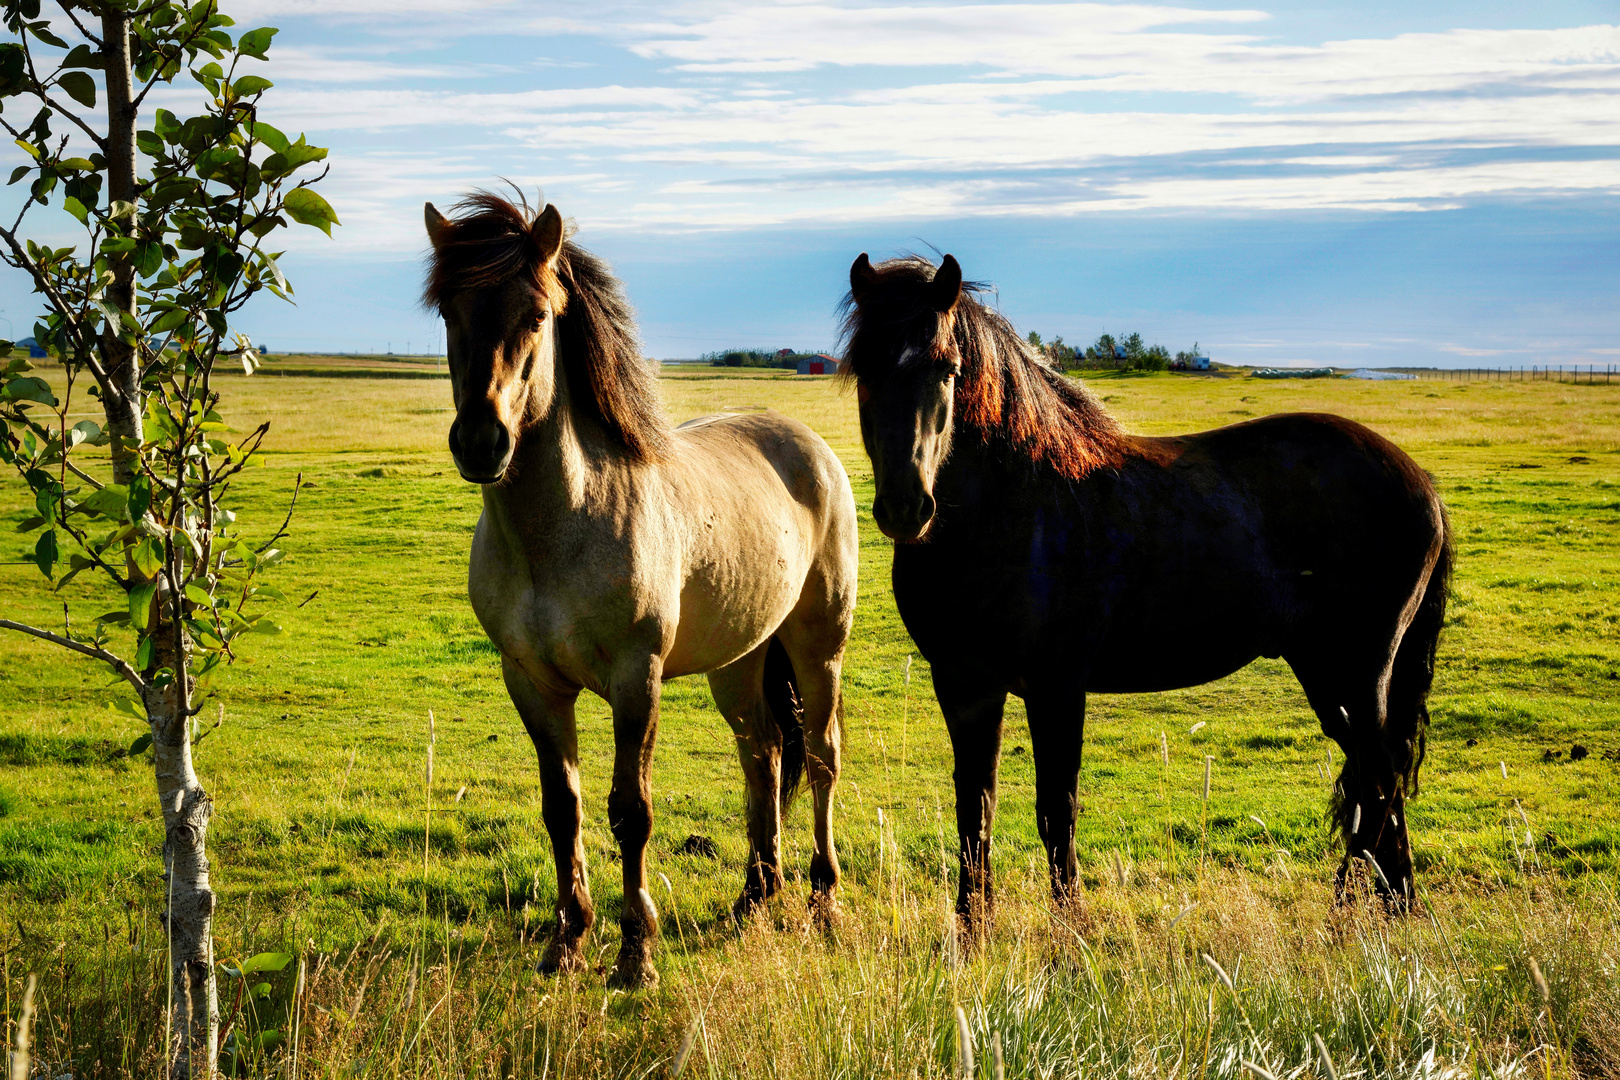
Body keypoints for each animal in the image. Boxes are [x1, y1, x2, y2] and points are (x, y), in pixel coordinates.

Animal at [422, 192, 858, 988]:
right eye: (447, 311)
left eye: (537, 314)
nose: (481, 442)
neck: (564, 525)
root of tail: (809, 444)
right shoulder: (530, 681)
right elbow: (562, 807)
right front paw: (566, 940)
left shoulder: (636, 678)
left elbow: (632, 811)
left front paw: (635, 953)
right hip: (739, 660)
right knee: (763, 753)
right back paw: (755, 894)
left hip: (818, 648)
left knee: (818, 756)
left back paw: (822, 901)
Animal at [841, 252, 1451, 926]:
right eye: (864, 368)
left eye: (947, 370)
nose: (906, 508)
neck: (1010, 507)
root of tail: (1419, 479)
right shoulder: (965, 684)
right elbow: (976, 809)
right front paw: (973, 929)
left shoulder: (1057, 687)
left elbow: (1056, 810)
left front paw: (1070, 929)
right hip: (1326, 674)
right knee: (1379, 779)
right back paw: (1394, 903)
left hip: (1355, 674)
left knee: (1379, 777)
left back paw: (1351, 906)